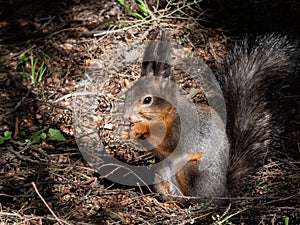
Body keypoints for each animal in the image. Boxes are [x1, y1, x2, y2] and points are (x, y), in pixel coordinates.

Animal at [121, 29, 298, 204]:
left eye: (147, 100)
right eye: (128, 93)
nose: (127, 117)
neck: (167, 114)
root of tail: (223, 193)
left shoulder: (184, 129)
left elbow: (169, 142)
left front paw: (140, 127)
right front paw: (128, 132)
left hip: (193, 169)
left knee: (195, 198)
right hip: (162, 173)